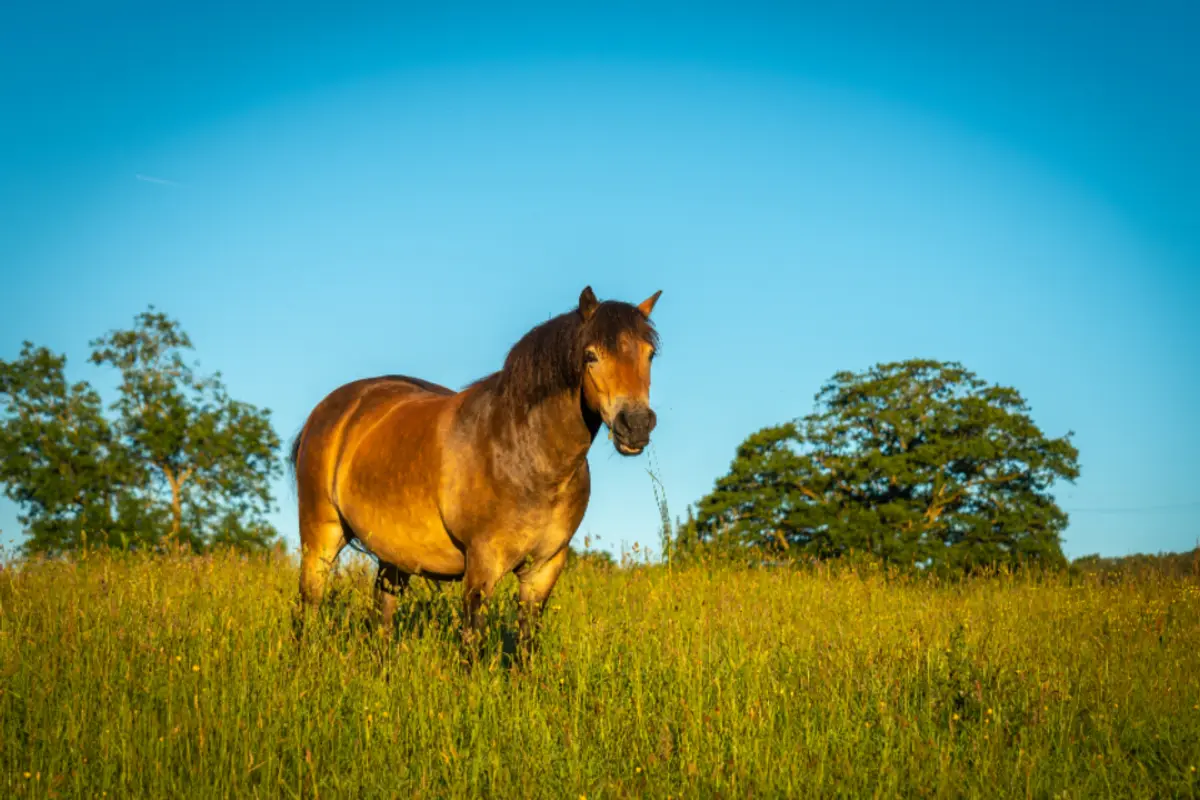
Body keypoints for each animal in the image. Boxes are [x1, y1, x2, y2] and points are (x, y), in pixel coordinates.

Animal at [289, 286, 662, 656]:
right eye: (591, 355)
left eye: (650, 354)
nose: (636, 425)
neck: (527, 454)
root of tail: (333, 409)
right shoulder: (482, 564)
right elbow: (471, 643)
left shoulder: (544, 568)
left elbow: (526, 644)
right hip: (321, 535)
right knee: (308, 606)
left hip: (392, 556)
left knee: (382, 617)